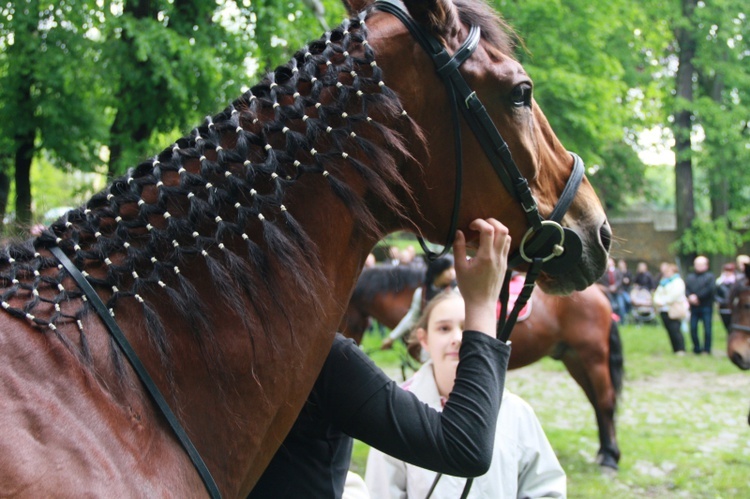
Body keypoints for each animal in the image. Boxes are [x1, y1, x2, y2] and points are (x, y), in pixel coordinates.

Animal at [340, 268, 624, 470]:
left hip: (592, 356)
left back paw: (610, 458)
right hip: (574, 358)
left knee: (605, 401)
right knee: (596, 402)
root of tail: (600, 292)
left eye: (346, 317)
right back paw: (604, 451)